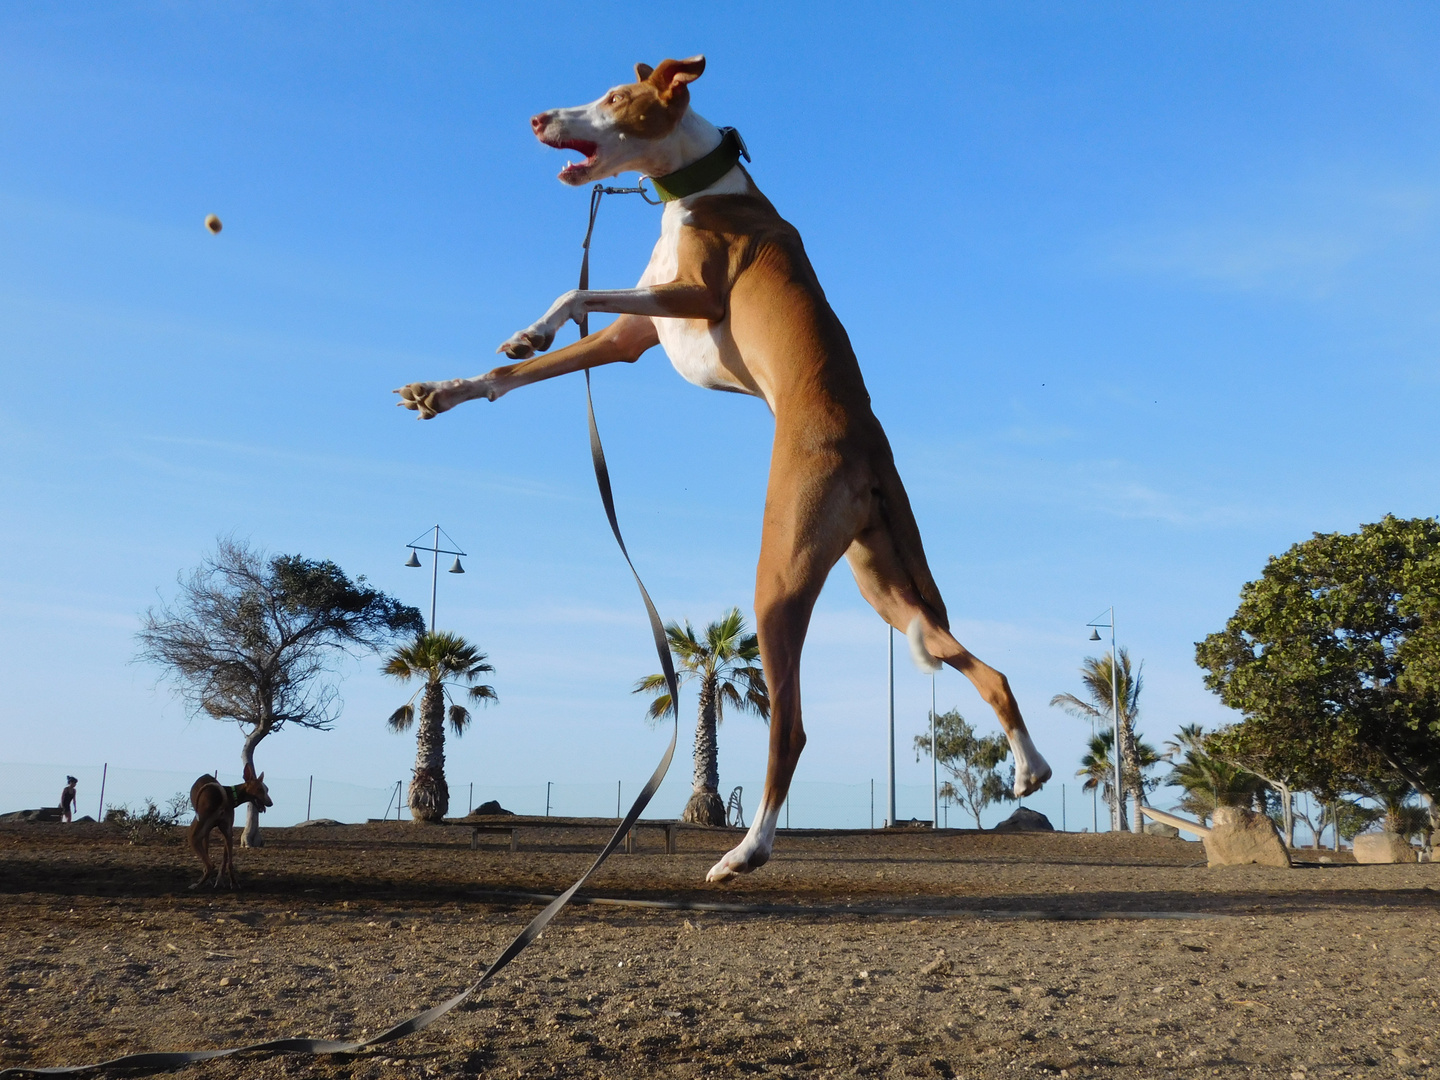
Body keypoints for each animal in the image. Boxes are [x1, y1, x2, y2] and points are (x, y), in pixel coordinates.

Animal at [400, 57, 1054, 881]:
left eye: (615, 97)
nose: (536, 118)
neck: (701, 186)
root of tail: (866, 442)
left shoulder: (695, 294)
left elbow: (578, 284)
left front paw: (529, 330)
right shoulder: (632, 335)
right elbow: (523, 363)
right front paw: (458, 380)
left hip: (780, 579)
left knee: (792, 727)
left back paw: (747, 850)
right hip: (887, 586)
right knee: (978, 665)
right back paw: (1030, 766)